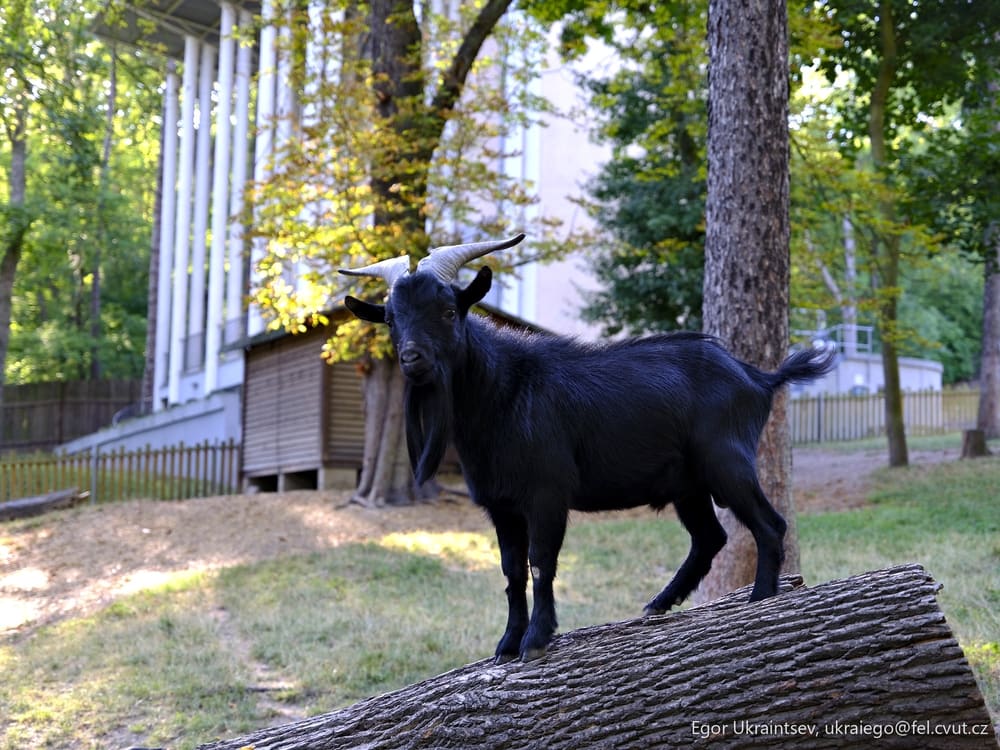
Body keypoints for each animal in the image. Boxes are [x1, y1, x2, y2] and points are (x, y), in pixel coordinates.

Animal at [341, 234, 836, 662]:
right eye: (390, 319)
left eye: (448, 310)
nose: (413, 358)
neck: (504, 392)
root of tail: (759, 378)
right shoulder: (500, 505)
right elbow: (510, 570)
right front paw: (507, 643)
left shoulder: (546, 493)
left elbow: (541, 563)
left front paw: (536, 640)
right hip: (688, 484)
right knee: (710, 536)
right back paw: (659, 604)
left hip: (727, 462)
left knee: (769, 525)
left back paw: (759, 601)